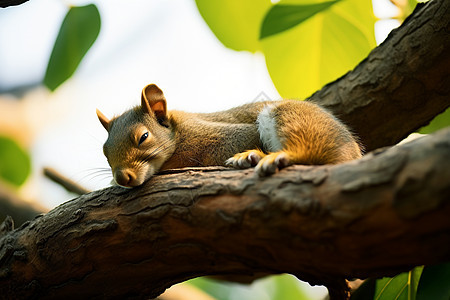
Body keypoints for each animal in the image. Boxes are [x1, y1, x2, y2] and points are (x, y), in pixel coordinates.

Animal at [96, 83, 362, 189]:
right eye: (104, 151)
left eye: (143, 137)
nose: (122, 177)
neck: (178, 134)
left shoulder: (222, 136)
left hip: (294, 118)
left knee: (307, 151)